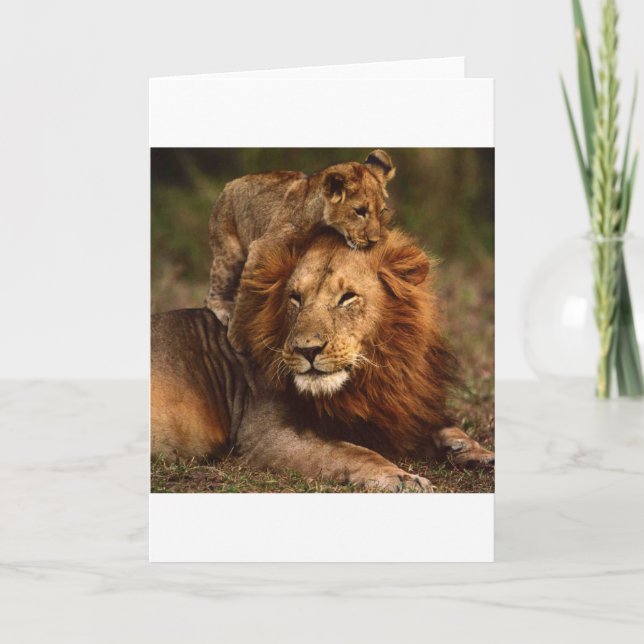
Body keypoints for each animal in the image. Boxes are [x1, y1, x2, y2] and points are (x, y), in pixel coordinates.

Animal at [152, 229, 494, 492]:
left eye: (347, 298)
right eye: (295, 298)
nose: (307, 349)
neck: (369, 378)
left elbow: (444, 427)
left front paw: (473, 450)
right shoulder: (263, 434)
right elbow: (350, 452)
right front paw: (403, 478)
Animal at [205, 150, 395, 352]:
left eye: (381, 211)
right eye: (359, 211)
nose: (374, 241)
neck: (320, 222)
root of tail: (229, 184)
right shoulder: (261, 248)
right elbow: (247, 293)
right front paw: (236, 338)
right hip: (229, 255)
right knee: (212, 294)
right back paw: (224, 308)